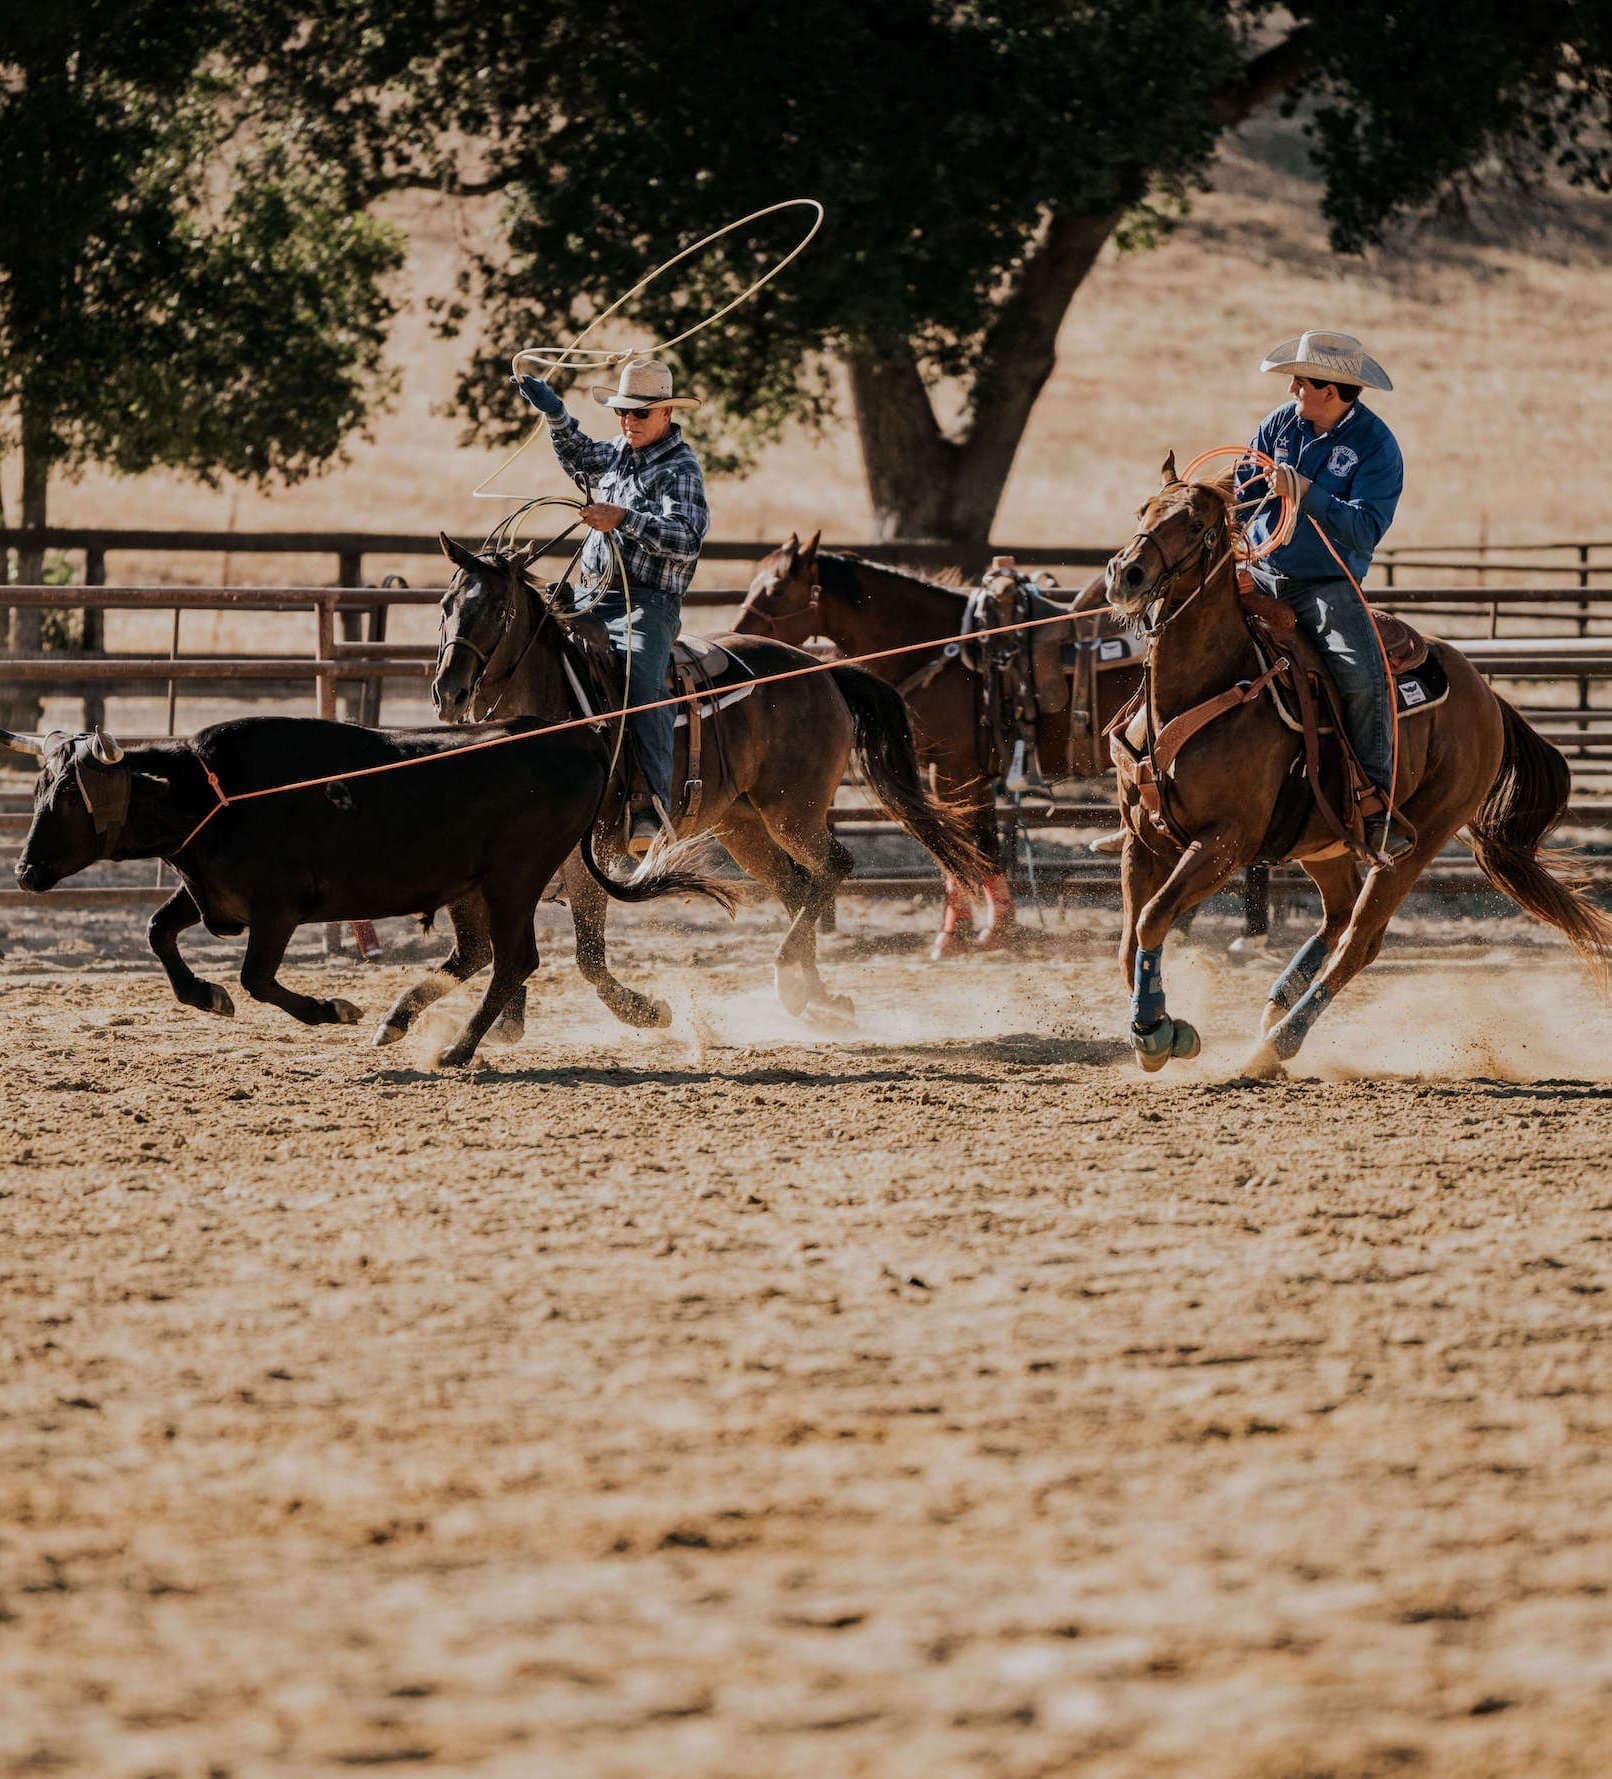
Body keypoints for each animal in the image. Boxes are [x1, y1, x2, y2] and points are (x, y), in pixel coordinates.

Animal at [427, 526, 989, 1031]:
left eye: (497, 610)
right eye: (445, 604)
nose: (449, 691)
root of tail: (820, 670)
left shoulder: (588, 849)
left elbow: (587, 953)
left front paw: (644, 1011)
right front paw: (509, 1017)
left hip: (794, 811)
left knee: (832, 867)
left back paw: (792, 982)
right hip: (742, 825)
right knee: (796, 887)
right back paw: (817, 997)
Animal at [736, 530, 1138, 960]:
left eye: (777, 588)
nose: (739, 634)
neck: (934, 648)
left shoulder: (953, 770)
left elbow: (958, 848)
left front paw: (959, 935)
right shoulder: (968, 775)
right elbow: (977, 847)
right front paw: (992, 929)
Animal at [1103, 455, 1608, 1067]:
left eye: (1197, 524)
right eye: (1144, 510)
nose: (1125, 574)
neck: (1204, 689)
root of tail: (1486, 695)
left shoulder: (1225, 841)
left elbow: (1154, 916)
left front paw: (1157, 1032)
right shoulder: (1142, 838)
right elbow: (1130, 940)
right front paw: (1155, 1025)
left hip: (1419, 840)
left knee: (1359, 940)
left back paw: (1278, 1042)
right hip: (1324, 841)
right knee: (1338, 914)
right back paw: (1276, 1006)